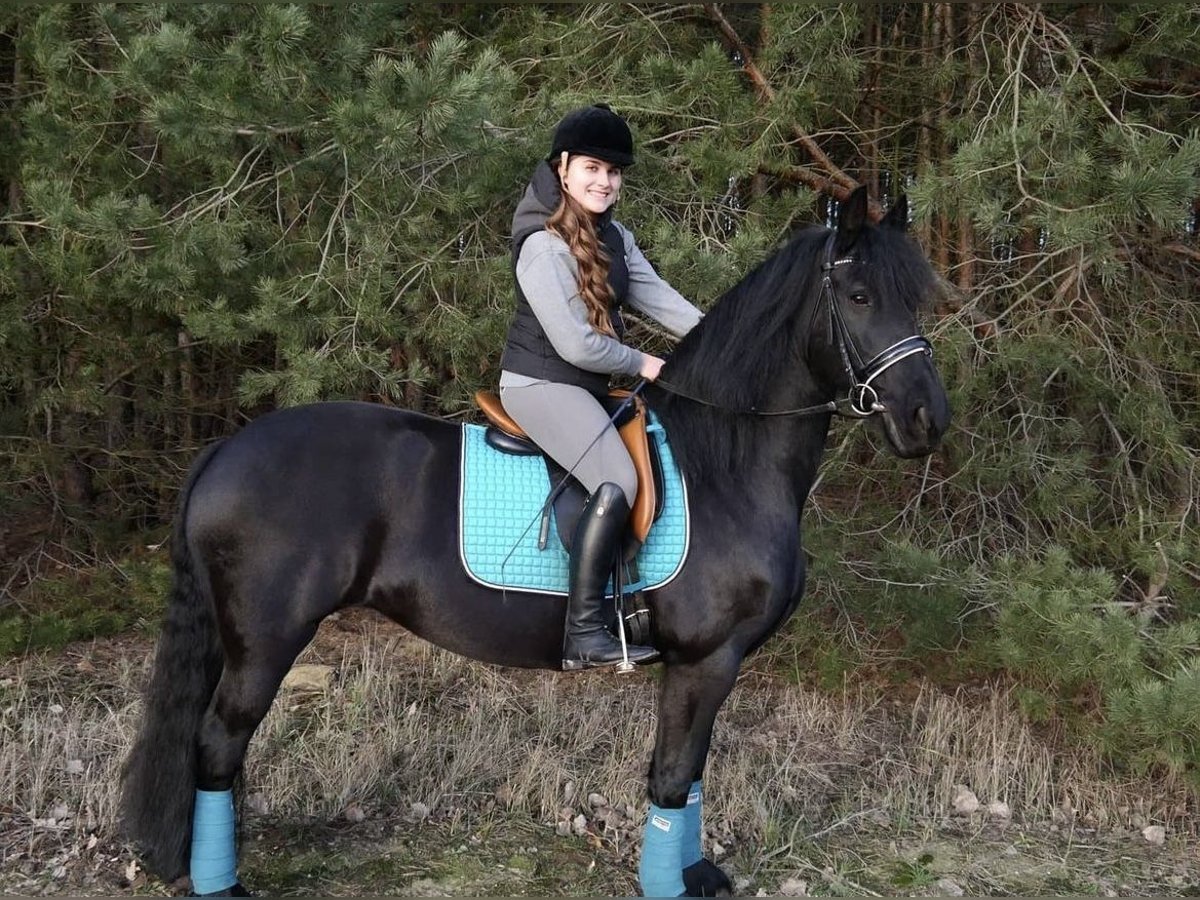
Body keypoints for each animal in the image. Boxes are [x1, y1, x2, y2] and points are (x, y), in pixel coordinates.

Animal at [121, 187, 945, 897]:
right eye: (860, 296)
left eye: (913, 297)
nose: (926, 419)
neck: (724, 464)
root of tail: (228, 449)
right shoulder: (708, 658)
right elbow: (672, 776)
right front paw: (667, 885)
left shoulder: (709, 663)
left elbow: (690, 773)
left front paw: (695, 874)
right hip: (266, 640)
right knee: (217, 746)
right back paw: (221, 886)